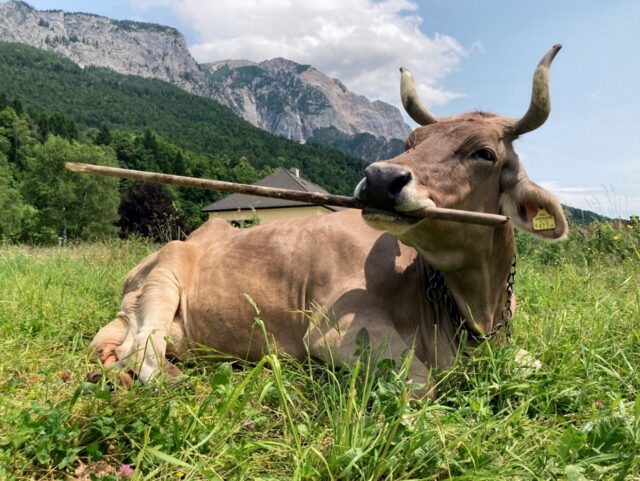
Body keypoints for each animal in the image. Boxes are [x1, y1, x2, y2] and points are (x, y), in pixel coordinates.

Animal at [90, 45, 568, 396]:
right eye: (411, 141)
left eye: (484, 153)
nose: (380, 178)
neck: (473, 311)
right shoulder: (337, 334)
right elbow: (422, 384)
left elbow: (540, 364)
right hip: (163, 278)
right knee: (143, 352)